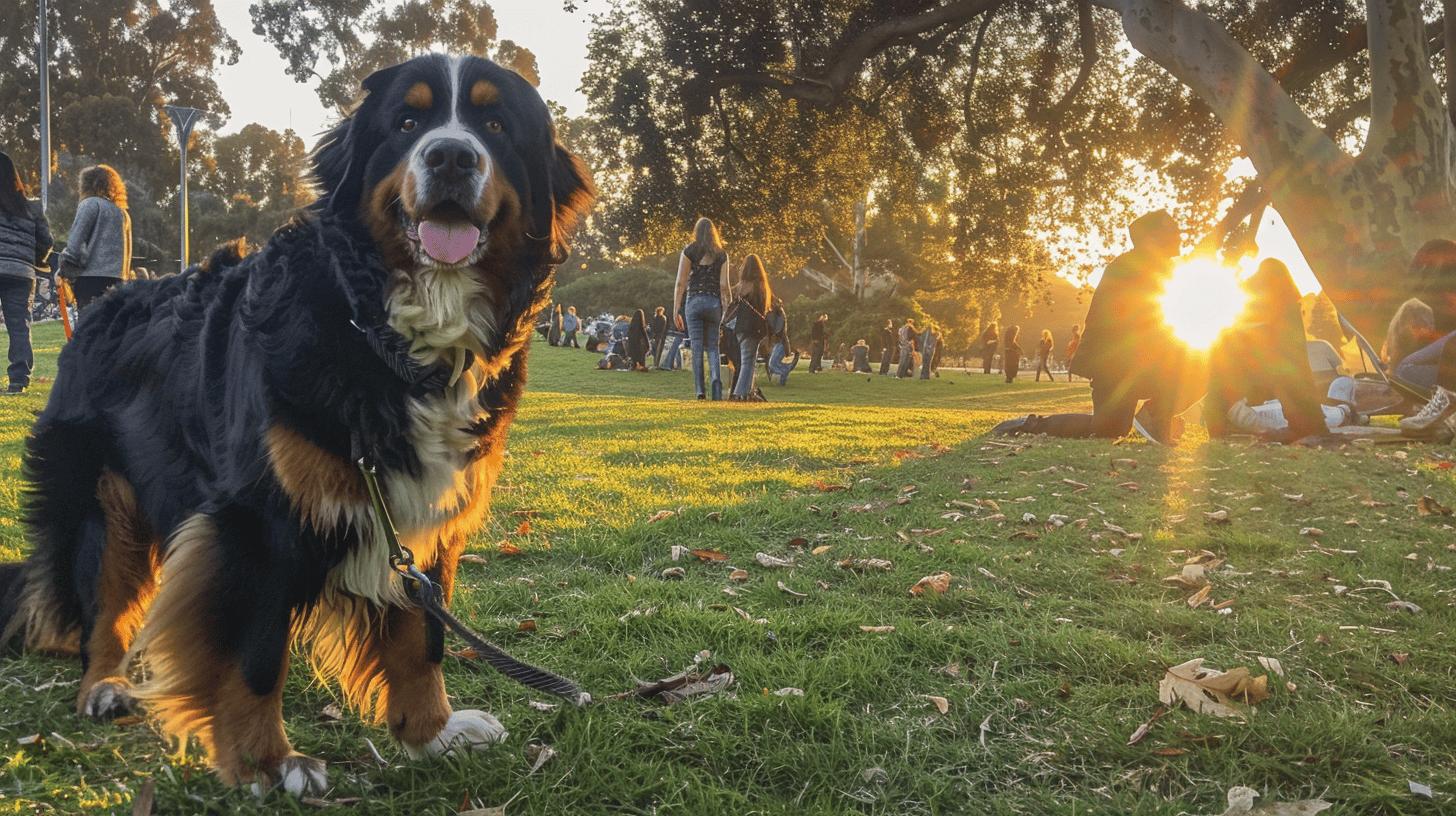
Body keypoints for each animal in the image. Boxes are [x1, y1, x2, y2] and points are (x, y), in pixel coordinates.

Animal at [0, 54, 594, 792]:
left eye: (495, 125)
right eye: (406, 123)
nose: (452, 156)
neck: (388, 336)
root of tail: (98, 304)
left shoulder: (421, 520)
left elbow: (420, 639)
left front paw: (431, 734)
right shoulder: (257, 522)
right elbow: (257, 654)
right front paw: (266, 762)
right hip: (103, 498)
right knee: (103, 604)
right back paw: (104, 685)